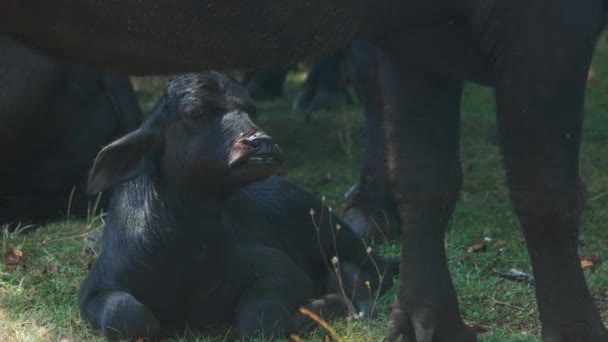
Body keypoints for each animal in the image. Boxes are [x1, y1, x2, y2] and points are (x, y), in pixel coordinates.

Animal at [79, 71, 394, 340]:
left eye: (250, 111)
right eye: (195, 113)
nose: (261, 142)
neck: (185, 255)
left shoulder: (283, 270)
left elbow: (261, 319)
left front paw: (315, 310)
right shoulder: (94, 290)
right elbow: (124, 315)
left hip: (335, 234)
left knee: (379, 271)